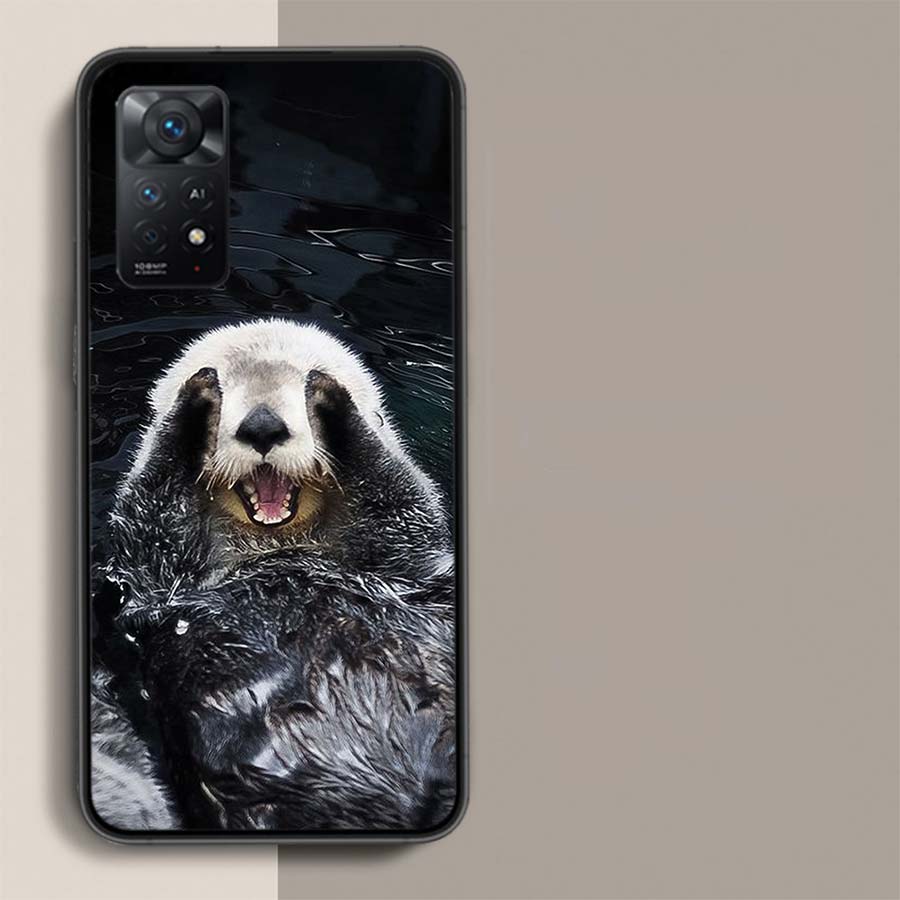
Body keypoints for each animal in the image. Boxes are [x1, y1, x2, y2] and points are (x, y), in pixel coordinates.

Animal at [91, 320, 456, 833]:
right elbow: (154, 513)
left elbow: (398, 503)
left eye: (298, 388)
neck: (278, 548)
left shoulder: (406, 560)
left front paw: (335, 401)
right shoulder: (151, 579)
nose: (262, 424)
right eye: (229, 390)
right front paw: (191, 404)